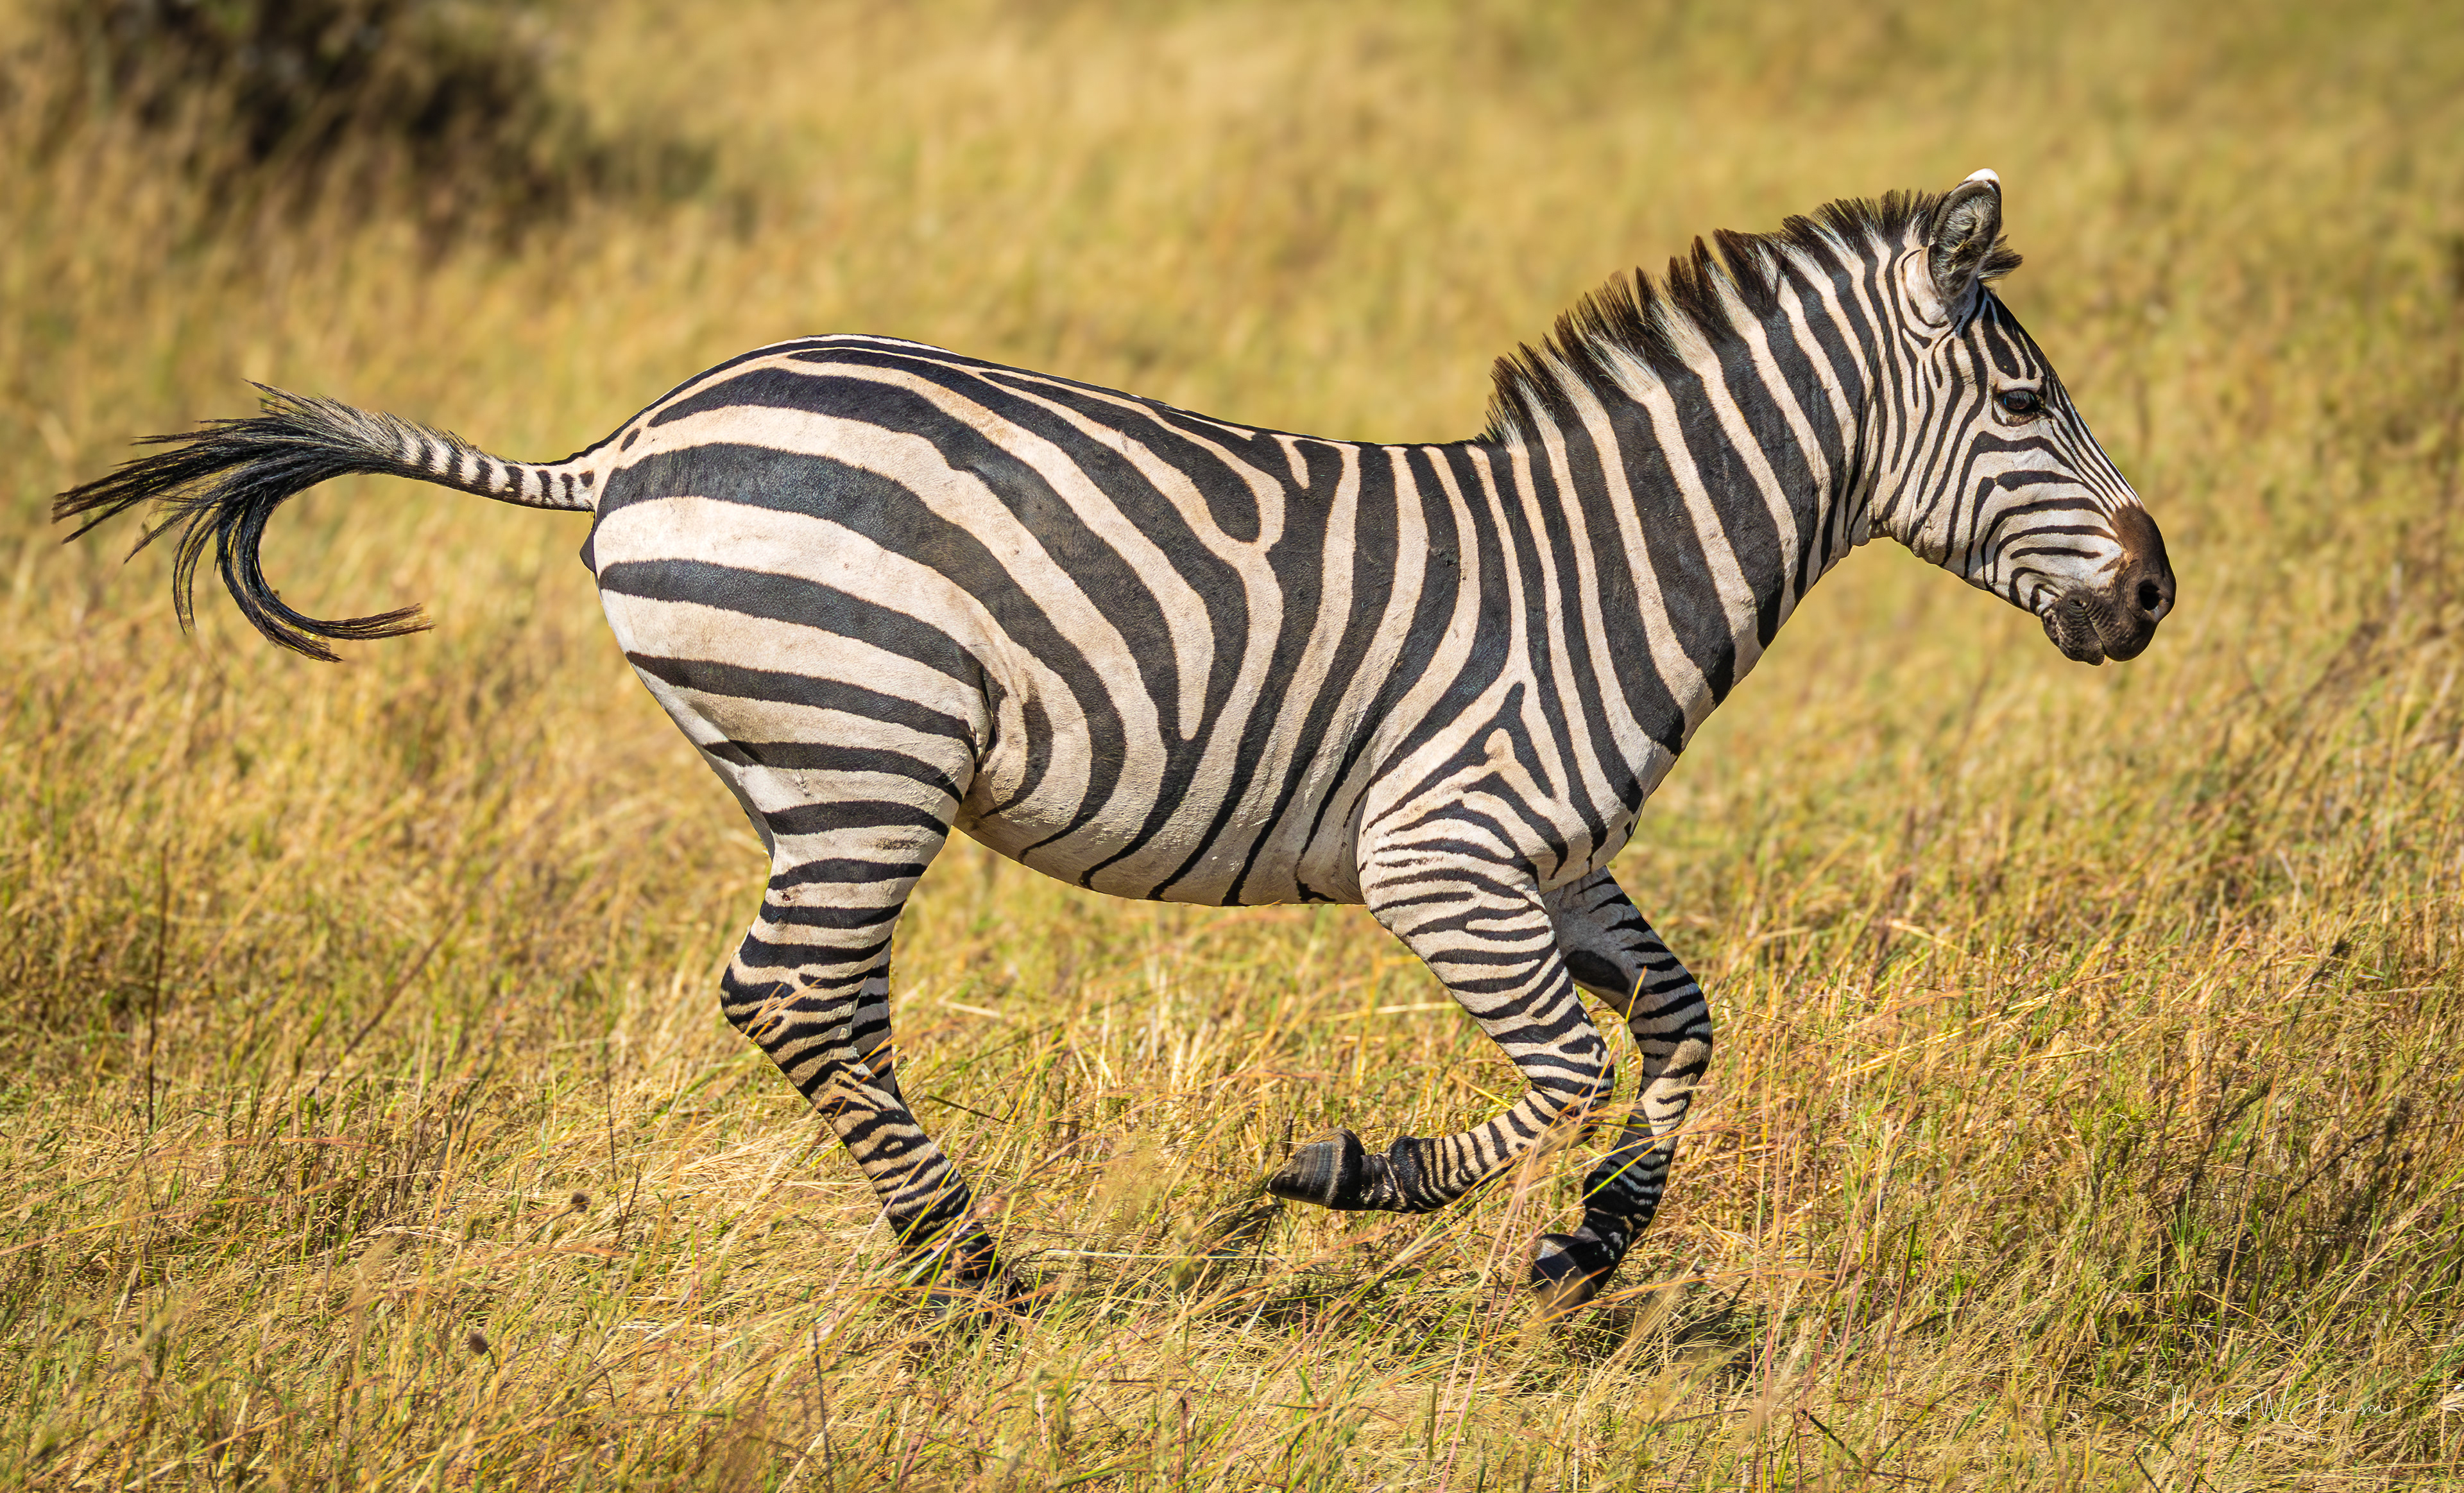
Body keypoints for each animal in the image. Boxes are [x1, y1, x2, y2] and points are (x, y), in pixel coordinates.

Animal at [56, 170, 2173, 1318]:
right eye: (2024, 398)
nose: (2154, 590)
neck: (1601, 563)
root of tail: (640, 436)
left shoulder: (1551, 855)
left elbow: (1683, 1025)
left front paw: (1597, 1243)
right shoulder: (1437, 846)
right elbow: (1571, 1062)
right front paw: (1353, 1169)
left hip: (812, 763)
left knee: (806, 999)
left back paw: (955, 1247)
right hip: (865, 750)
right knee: (797, 992)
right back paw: (968, 1263)